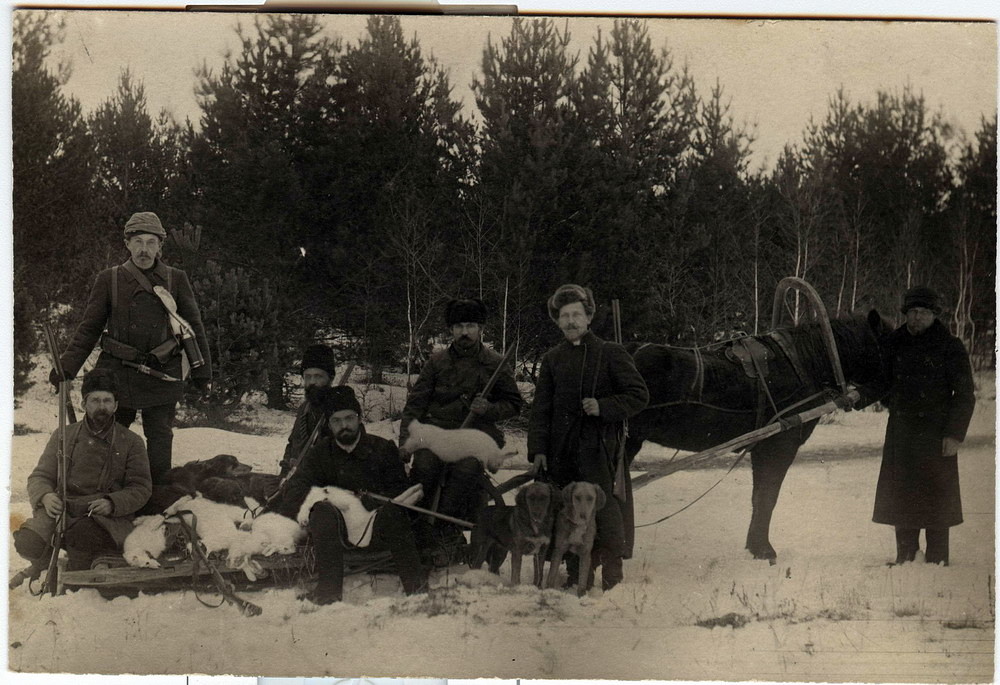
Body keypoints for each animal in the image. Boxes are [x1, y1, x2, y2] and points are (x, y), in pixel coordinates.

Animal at [625, 310, 893, 561]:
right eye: (894, 346)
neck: (808, 363)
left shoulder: (761, 447)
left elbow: (758, 497)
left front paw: (754, 546)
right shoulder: (779, 446)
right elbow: (767, 497)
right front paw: (764, 549)